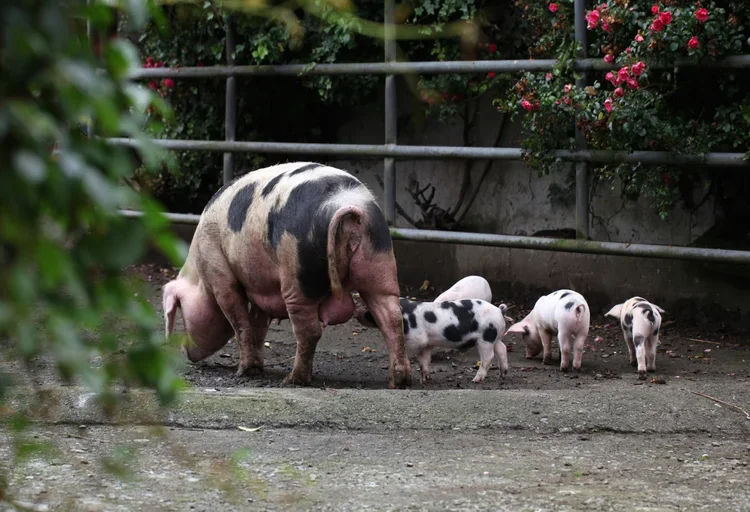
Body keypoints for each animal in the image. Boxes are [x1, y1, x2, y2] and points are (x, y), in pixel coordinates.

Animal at [162, 162, 412, 389]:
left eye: (181, 311)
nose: (184, 352)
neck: (199, 276)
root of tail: (348, 206)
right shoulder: (260, 288)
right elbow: (258, 326)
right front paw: (258, 367)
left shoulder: (219, 274)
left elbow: (239, 322)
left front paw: (244, 372)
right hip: (380, 262)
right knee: (391, 317)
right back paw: (398, 381)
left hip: (297, 271)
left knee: (309, 331)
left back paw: (292, 380)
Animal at [356, 299, 509, 385]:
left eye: (371, 309)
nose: (357, 313)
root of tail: (499, 311)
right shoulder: (426, 345)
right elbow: (424, 361)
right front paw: (425, 380)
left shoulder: (416, 340)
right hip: (495, 338)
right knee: (502, 349)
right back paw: (502, 375)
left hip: (486, 338)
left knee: (488, 357)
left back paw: (476, 380)